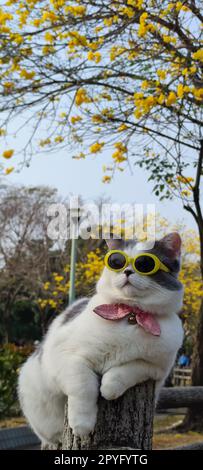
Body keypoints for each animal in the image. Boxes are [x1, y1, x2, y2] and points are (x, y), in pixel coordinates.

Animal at [18, 234, 184, 444]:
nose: (128, 271)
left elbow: (130, 369)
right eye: (117, 261)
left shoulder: (156, 370)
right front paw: (82, 426)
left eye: (145, 264)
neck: (131, 315)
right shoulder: (68, 357)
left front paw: (109, 388)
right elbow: (84, 386)